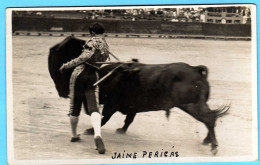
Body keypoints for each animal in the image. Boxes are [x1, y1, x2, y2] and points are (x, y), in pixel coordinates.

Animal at [48, 36, 230, 154]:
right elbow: (128, 119)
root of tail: (195, 69)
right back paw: (207, 141)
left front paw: (90, 130)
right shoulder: (132, 105)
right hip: (195, 104)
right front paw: (121, 130)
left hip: (192, 105)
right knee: (210, 118)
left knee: (209, 118)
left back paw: (213, 146)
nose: (63, 92)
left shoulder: (112, 103)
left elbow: (104, 118)